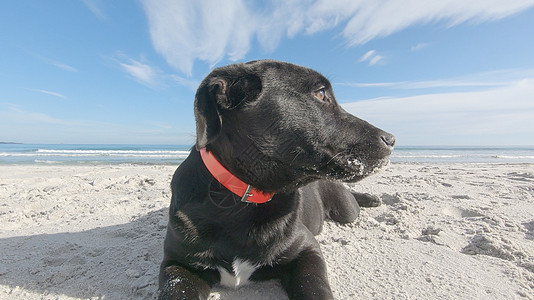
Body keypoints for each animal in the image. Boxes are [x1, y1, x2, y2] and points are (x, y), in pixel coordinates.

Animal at [157, 59, 396, 298]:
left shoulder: (307, 249)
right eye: (320, 93)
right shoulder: (179, 264)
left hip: (346, 210)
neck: (238, 201)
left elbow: (314, 287)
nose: (392, 139)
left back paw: (371, 198)